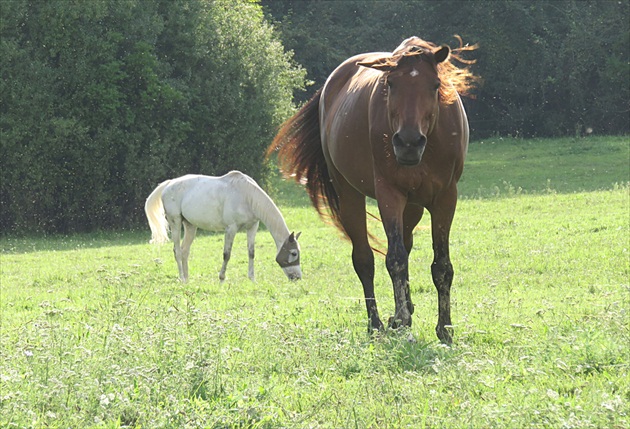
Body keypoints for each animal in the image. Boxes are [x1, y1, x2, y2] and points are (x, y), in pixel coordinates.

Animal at [144, 169, 302, 282]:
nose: (297, 278)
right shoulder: (231, 229)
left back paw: (187, 280)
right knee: (177, 251)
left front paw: (252, 279)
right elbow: (227, 254)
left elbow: (251, 252)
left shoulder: (252, 227)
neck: (247, 196)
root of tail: (169, 184)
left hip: (190, 226)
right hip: (175, 222)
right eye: (293, 253)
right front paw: (221, 279)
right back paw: (182, 278)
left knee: (184, 251)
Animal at [266, 37, 478, 344]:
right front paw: (401, 318)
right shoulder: (389, 196)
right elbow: (395, 260)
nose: (409, 143)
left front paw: (445, 329)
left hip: (412, 206)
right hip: (350, 197)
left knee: (406, 245)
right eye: (390, 84)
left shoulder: (445, 198)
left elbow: (441, 265)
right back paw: (376, 322)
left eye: (435, 85)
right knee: (365, 259)